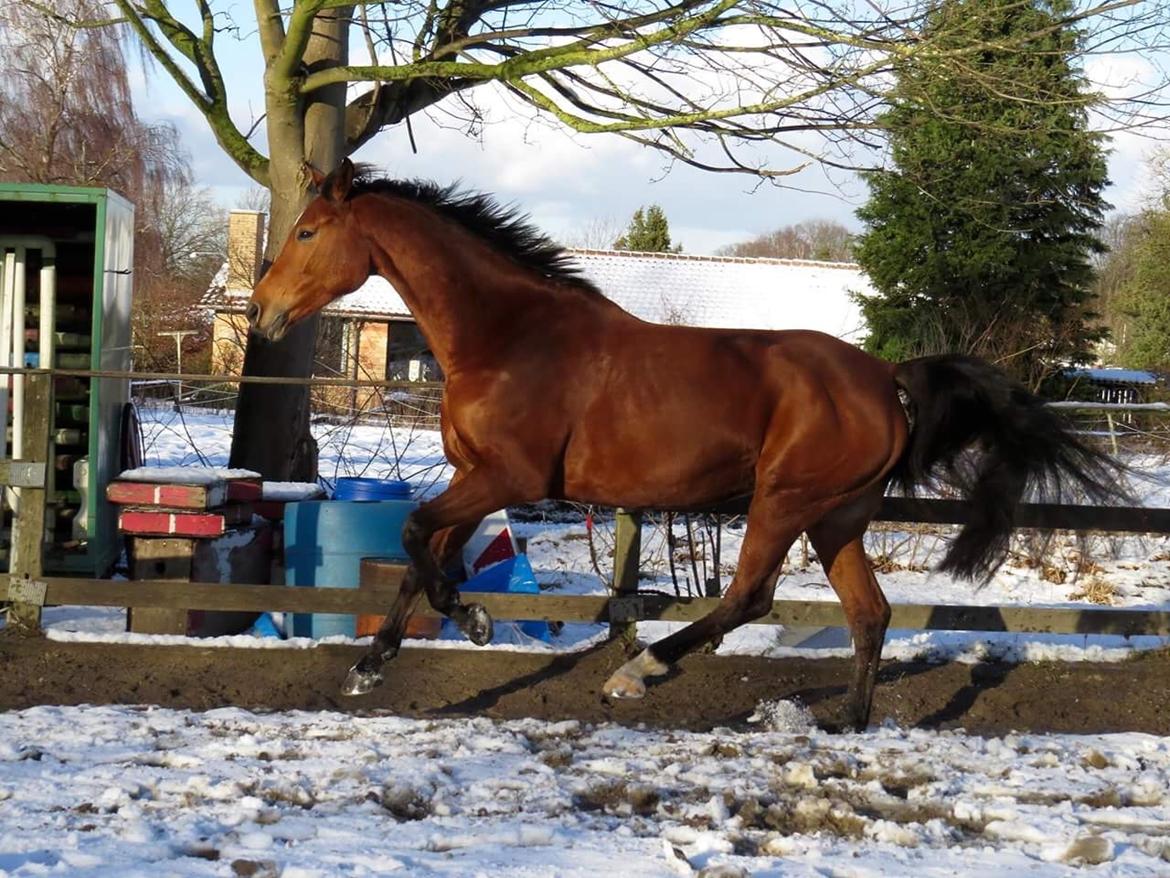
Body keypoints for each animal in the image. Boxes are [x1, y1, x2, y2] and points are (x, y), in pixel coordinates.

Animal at [246, 160, 1123, 735]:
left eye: (309, 230)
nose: (261, 310)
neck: (508, 339)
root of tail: (884, 376)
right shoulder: (474, 475)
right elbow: (423, 551)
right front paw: (378, 662)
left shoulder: (507, 476)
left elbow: (413, 533)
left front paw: (475, 622)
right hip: (837, 518)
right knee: (868, 613)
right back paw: (845, 720)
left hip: (784, 501)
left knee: (748, 598)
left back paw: (638, 673)